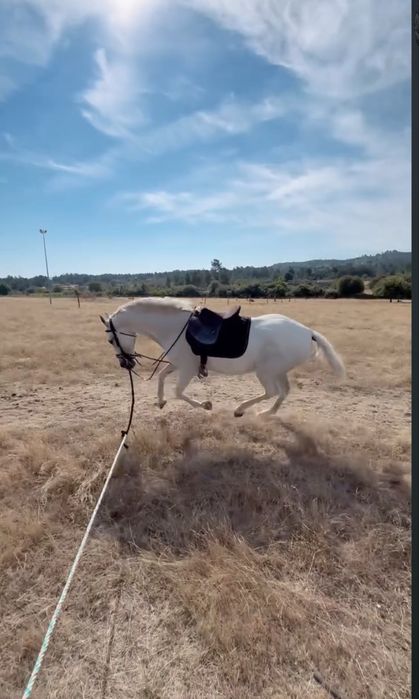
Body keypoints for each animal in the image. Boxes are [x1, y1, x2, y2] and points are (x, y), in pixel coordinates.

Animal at [100, 297, 345, 417]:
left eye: (110, 340)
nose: (125, 363)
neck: (175, 328)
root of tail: (308, 332)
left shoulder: (187, 369)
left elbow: (178, 392)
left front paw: (205, 405)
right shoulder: (178, 364)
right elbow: (161, 377)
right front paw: (160, 402)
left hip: (266, 372)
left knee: (272, 392)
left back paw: (241, 409)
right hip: (278, 371)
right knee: (283, 392)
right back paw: (266, 414)